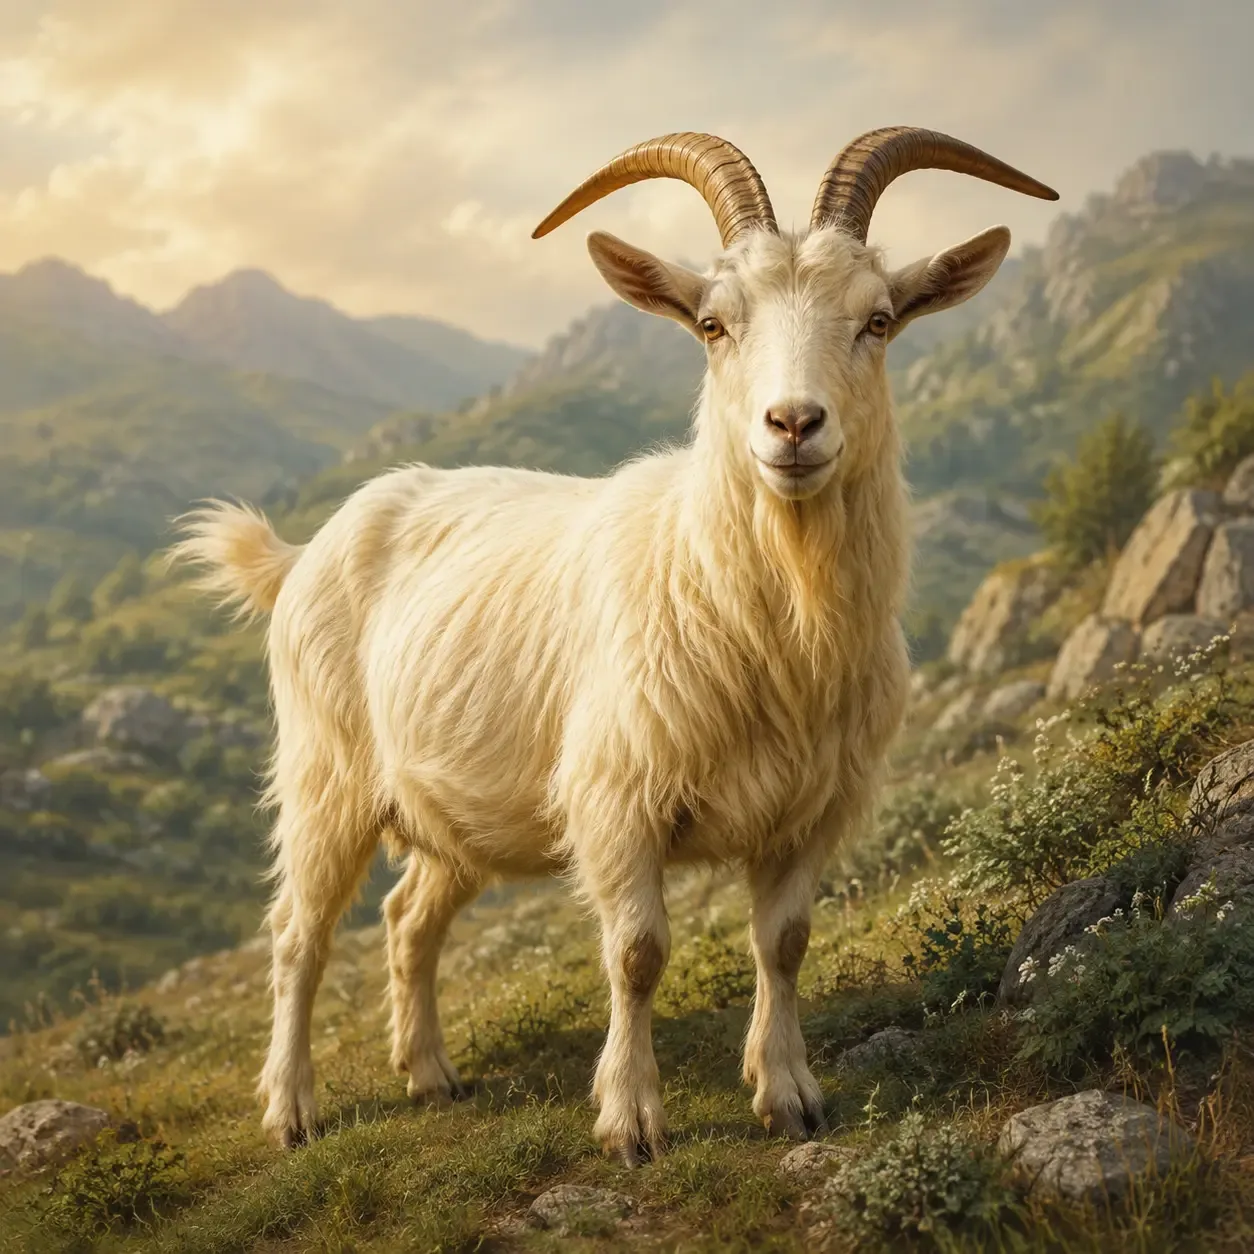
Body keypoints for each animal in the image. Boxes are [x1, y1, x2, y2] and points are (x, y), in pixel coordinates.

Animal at [173, 127, 1057, 1163]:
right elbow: (638, 953)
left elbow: (785, 942)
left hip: (456, 814)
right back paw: (292, 1109)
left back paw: (429, 1073)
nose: (794, 425)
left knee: (406, 921)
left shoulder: (810, 811)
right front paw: (632, 1120)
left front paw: (788, 1093)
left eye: (878, 319)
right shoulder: (616, 798)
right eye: (713, 325)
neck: (761, 623)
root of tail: (302, 552)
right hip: (325, 777)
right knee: (297, 934)